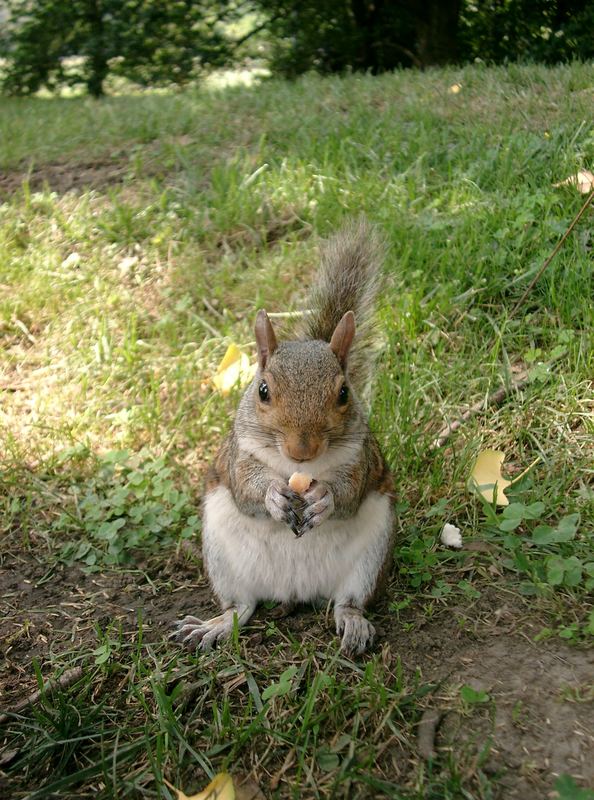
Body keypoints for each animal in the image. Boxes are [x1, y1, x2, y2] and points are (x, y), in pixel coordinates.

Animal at [172, 219, 394, 656]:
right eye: (262, 391)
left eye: (344, 393)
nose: (301, 449)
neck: (297, 470)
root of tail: (296, 591)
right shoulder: (238, 455)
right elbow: (246, 488)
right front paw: (273, 494)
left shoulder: (361, 457)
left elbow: (350, 491)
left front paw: (325, 496)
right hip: (223, 558)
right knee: (240, 607)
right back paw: (215, 626)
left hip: (371, 556)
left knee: (348, 601)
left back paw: (353, 622)